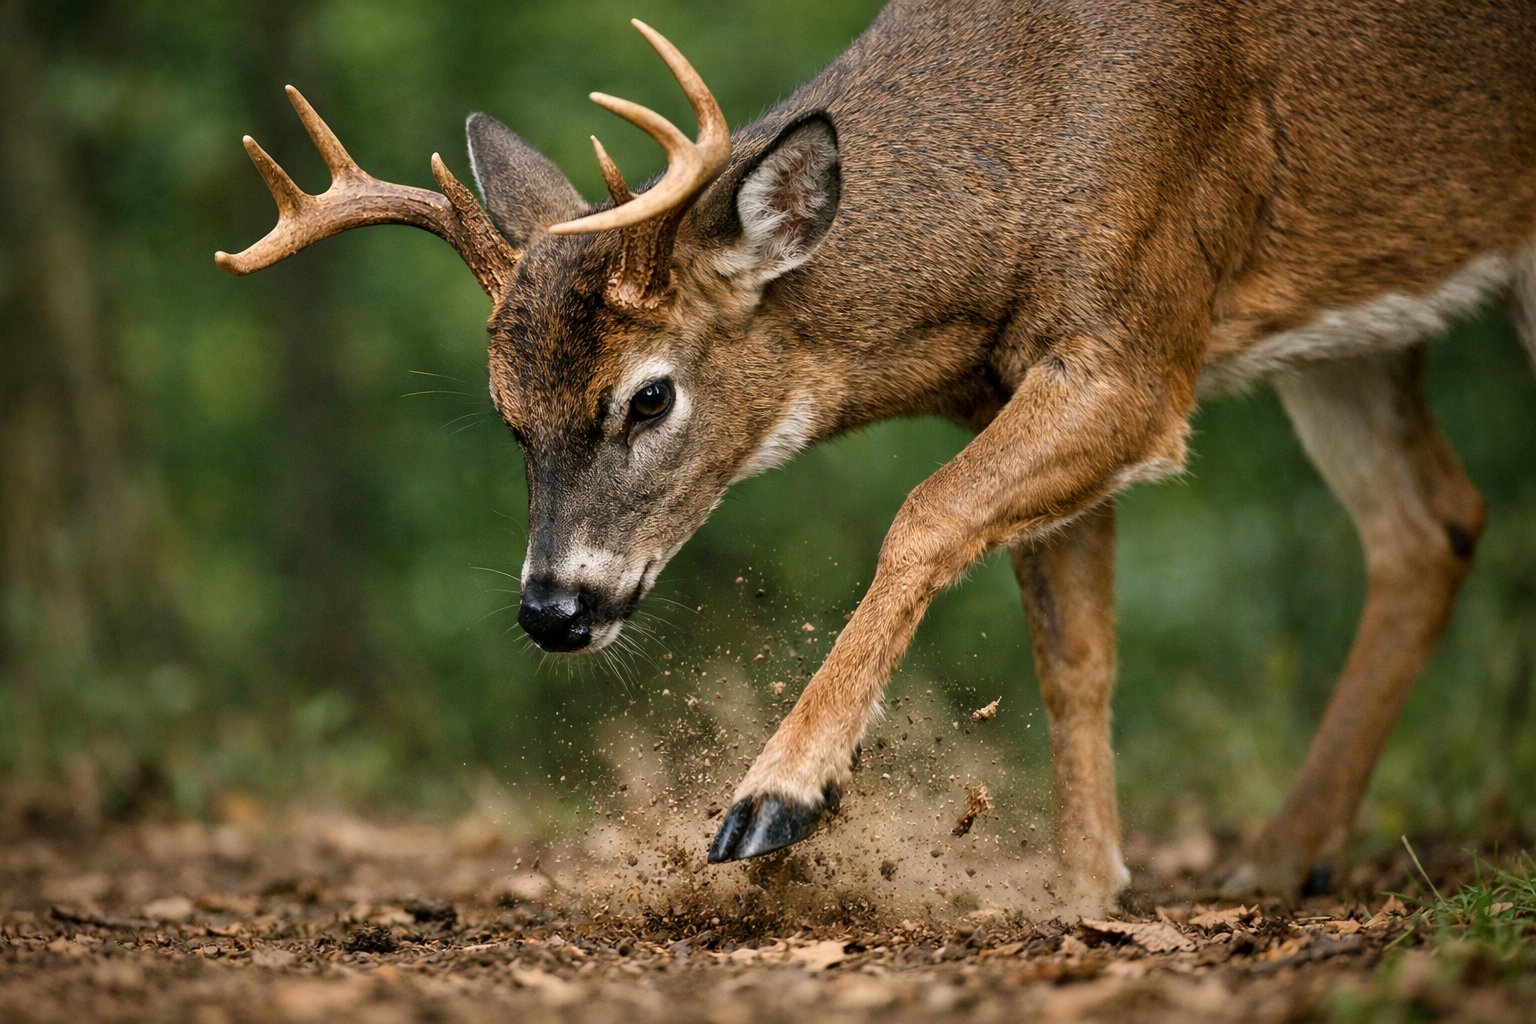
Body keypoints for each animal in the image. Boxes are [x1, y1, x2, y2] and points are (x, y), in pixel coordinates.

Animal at [216, 0, 1536, 908]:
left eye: (649, 397)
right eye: (507, 415)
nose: (553, 608)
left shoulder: (1137, 344)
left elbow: (928, 513)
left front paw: (776, 799)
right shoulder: (1025, 377)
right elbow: (1074, 652)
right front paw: (1083, 889)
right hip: (1352, 329)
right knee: (1433, 518)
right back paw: (1277, 855)